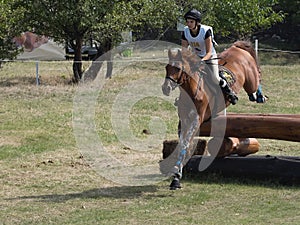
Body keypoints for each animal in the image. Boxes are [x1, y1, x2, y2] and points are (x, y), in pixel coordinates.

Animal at [161, 40, 266, 190]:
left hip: (251, 79)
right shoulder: (184, 120)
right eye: (167, 67)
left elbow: (186, 143)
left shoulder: (196, 120)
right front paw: (176, 176)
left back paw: (259, 96)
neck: (192, 90)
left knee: (257, 78)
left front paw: (176, 176)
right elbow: (182, 144)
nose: (166, 88)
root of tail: (236, 47)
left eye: (179, 69)